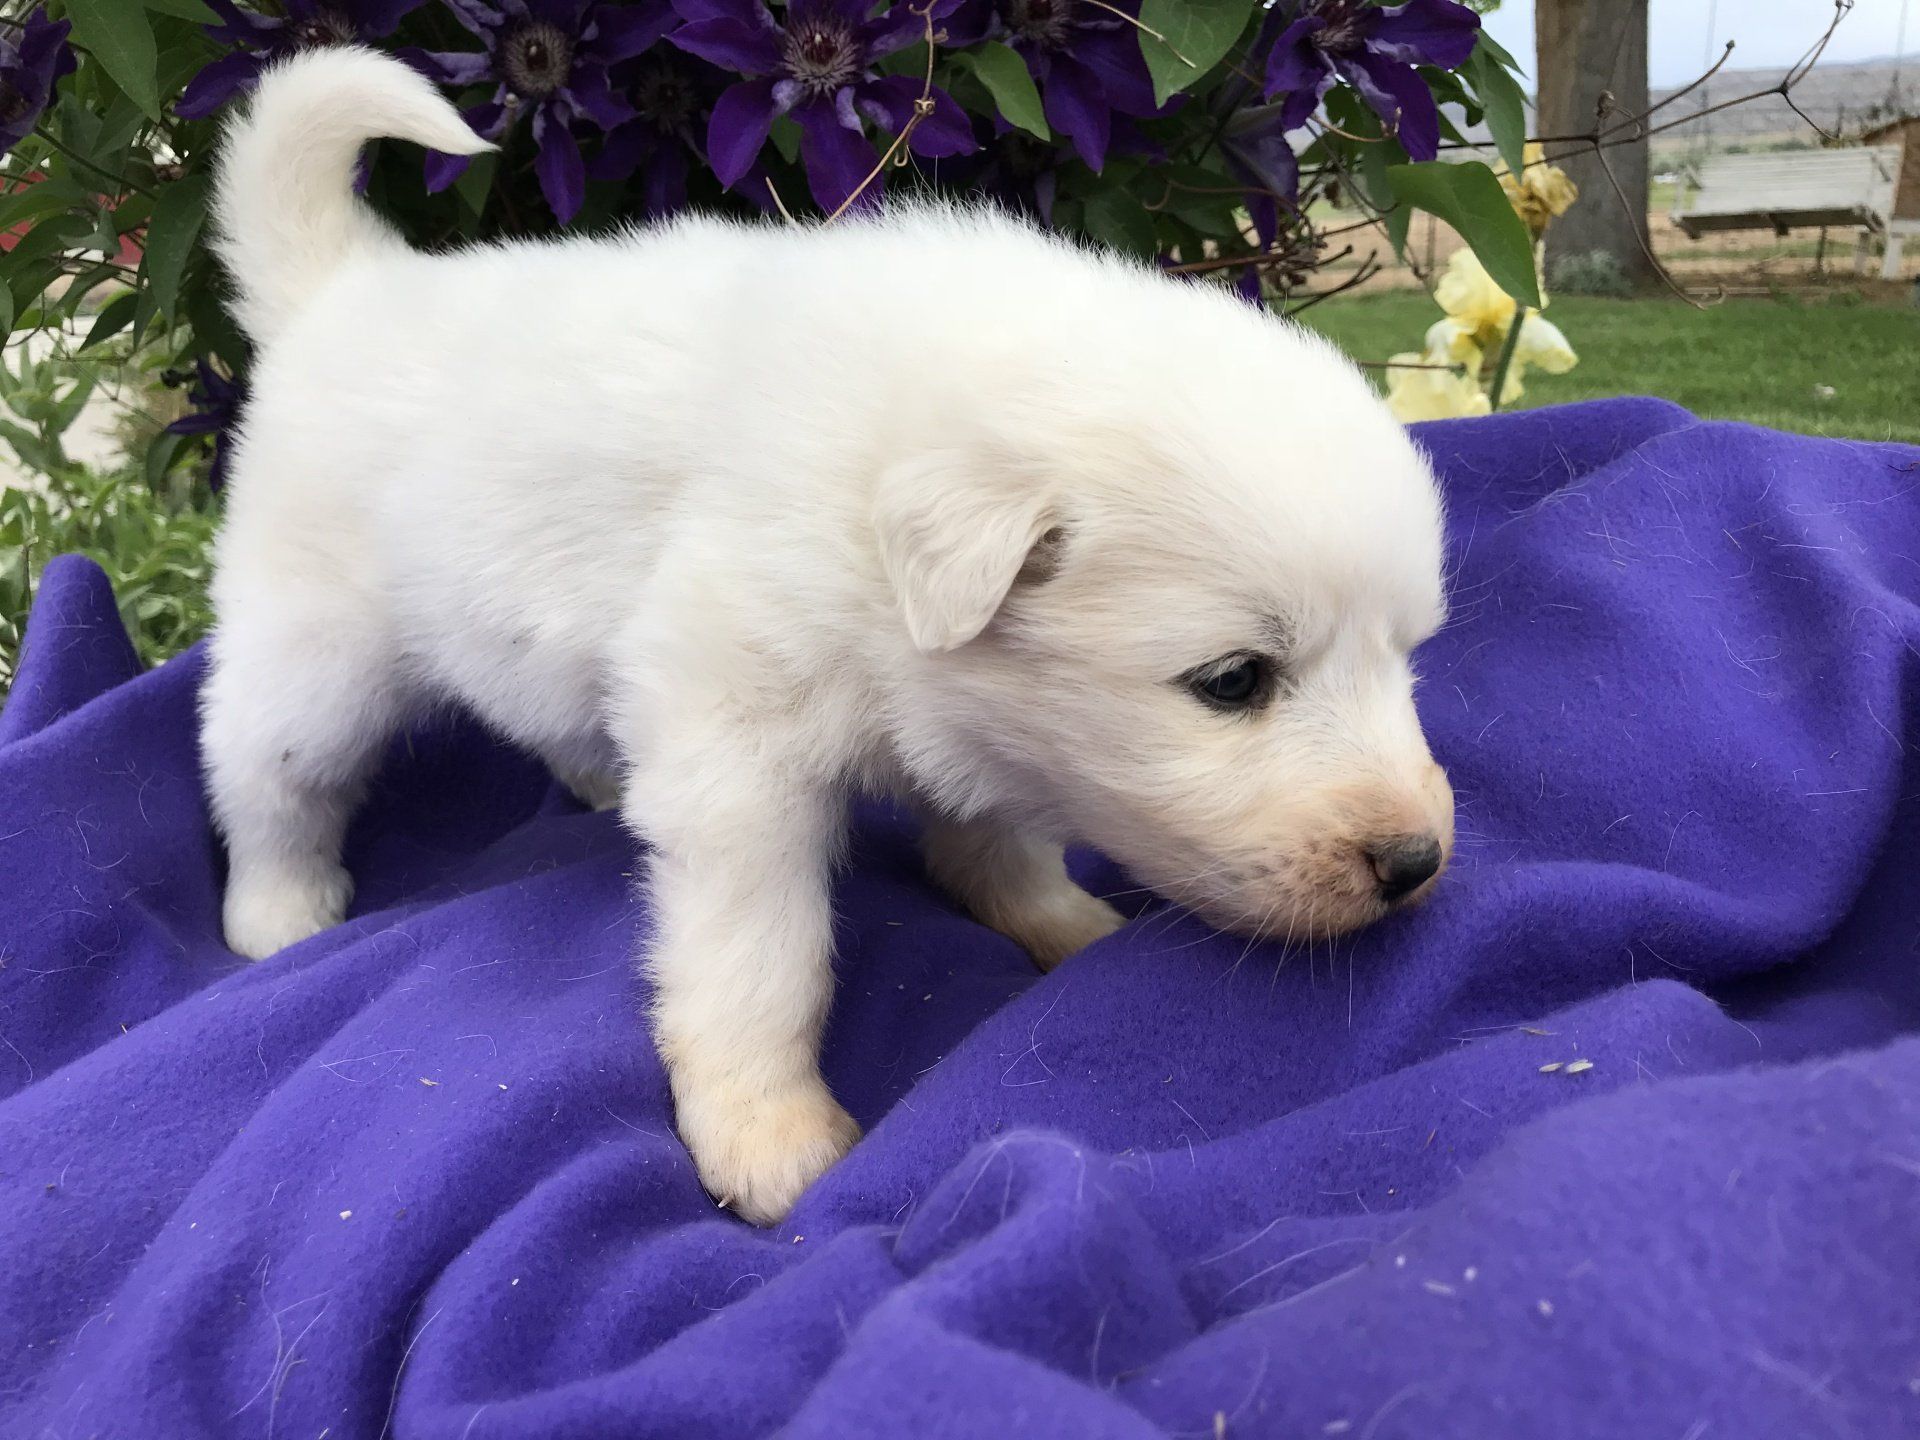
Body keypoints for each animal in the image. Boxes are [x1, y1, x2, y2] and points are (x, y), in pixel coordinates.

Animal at [201, 47, 1455, 1224]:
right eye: (1235, 680)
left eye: (1405, 655)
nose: (1417, 863)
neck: (869, 504)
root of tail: (344, 289)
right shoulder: (736, 760)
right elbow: (763, 960)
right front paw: (770, 1136)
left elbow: (998, 841)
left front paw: (1063, 923)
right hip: (311, 657)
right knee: (260, 776)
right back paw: (279, 912)